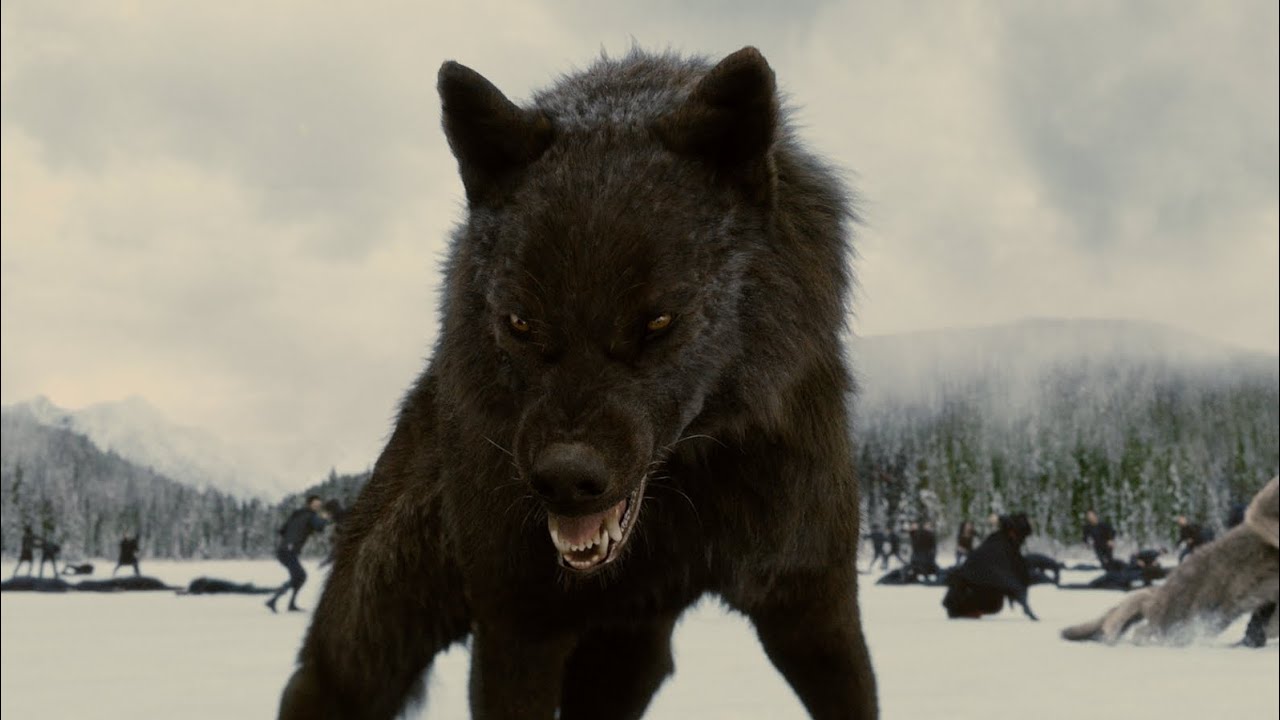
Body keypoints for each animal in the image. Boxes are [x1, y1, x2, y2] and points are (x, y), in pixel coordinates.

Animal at [277, 47, 876, 719]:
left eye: (658, 321)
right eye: (520, 322)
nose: (564, 479)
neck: (683, 507)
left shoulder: (813, 612)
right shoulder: (518, 631)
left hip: (629, 657)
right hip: (370, 641)